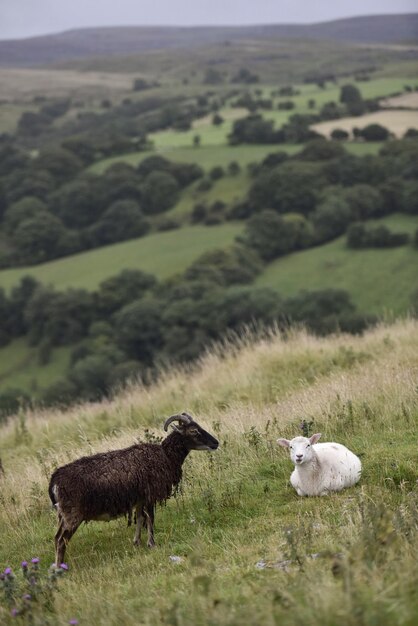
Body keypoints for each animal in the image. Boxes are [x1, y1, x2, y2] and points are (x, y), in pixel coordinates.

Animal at [48, 412, 217, 564]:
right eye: (194, 431)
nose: (216, 443)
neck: (166, 455)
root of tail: (54, 480)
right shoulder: (150, 495)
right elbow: (150, 518)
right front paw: (152, 544)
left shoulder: (139, 499)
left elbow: (140, 519)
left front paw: (137, 543)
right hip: (72, 514)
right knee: (61, 540)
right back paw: (60, 568)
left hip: (63, 515)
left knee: (57, 538)